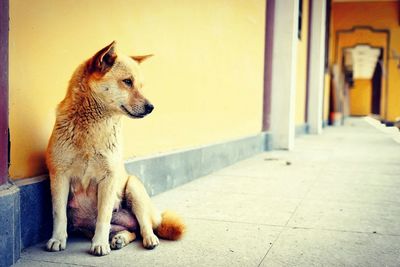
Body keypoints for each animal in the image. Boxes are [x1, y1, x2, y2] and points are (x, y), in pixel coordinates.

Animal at [45, 40, 186, 256]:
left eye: (141, 86)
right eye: (127, 81)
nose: (151, 107)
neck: (92, 127)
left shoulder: (108, 179)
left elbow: (103, 217)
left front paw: (99, 244)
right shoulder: (59, 175)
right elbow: (59, 214)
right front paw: (58, 239)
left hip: (134, 188)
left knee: (144, 226)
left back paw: (148, 239)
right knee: (132, 231)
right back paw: (120, 238)